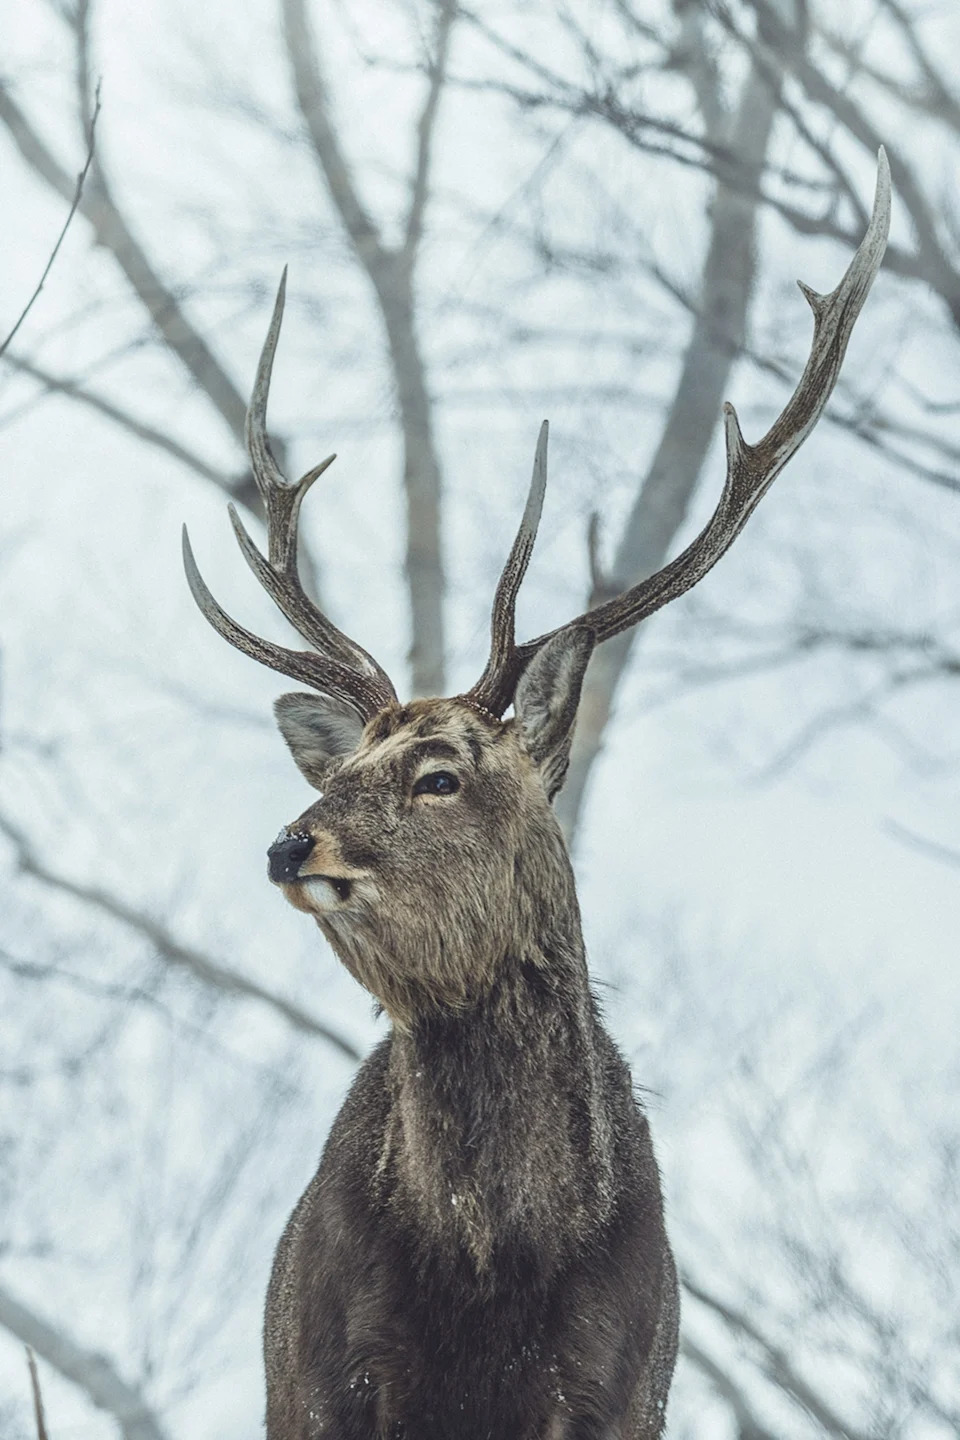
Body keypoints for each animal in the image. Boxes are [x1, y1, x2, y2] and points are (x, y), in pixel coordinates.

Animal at [181, 152, 890, 1440]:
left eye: (441, 772)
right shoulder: (325, 1381)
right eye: (341, 766)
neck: (491, 1272)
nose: (291, 844)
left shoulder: (617, 1389)